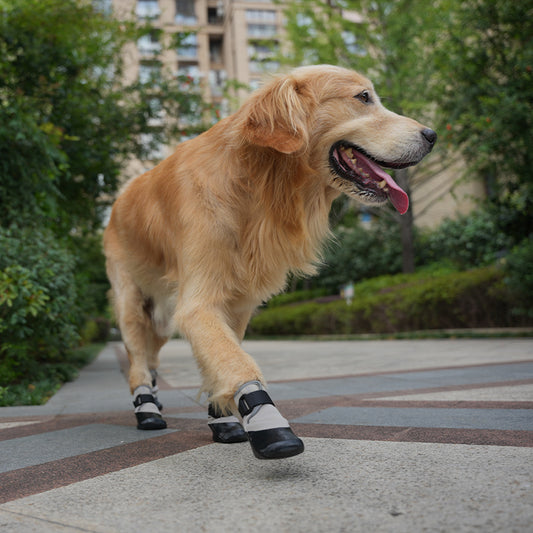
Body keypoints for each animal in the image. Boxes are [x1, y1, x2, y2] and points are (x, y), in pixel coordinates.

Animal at [104, 65, 436, 458]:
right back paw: (147, 408)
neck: (257, 183)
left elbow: (222, 355)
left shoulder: (235, 304)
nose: (432, 135)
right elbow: (233, 358)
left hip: (160, 319)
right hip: (131, 302)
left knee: (151, 358)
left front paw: (223, 417)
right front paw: (265, 420)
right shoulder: (198, 304)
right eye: (363, 97)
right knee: (138, 362)